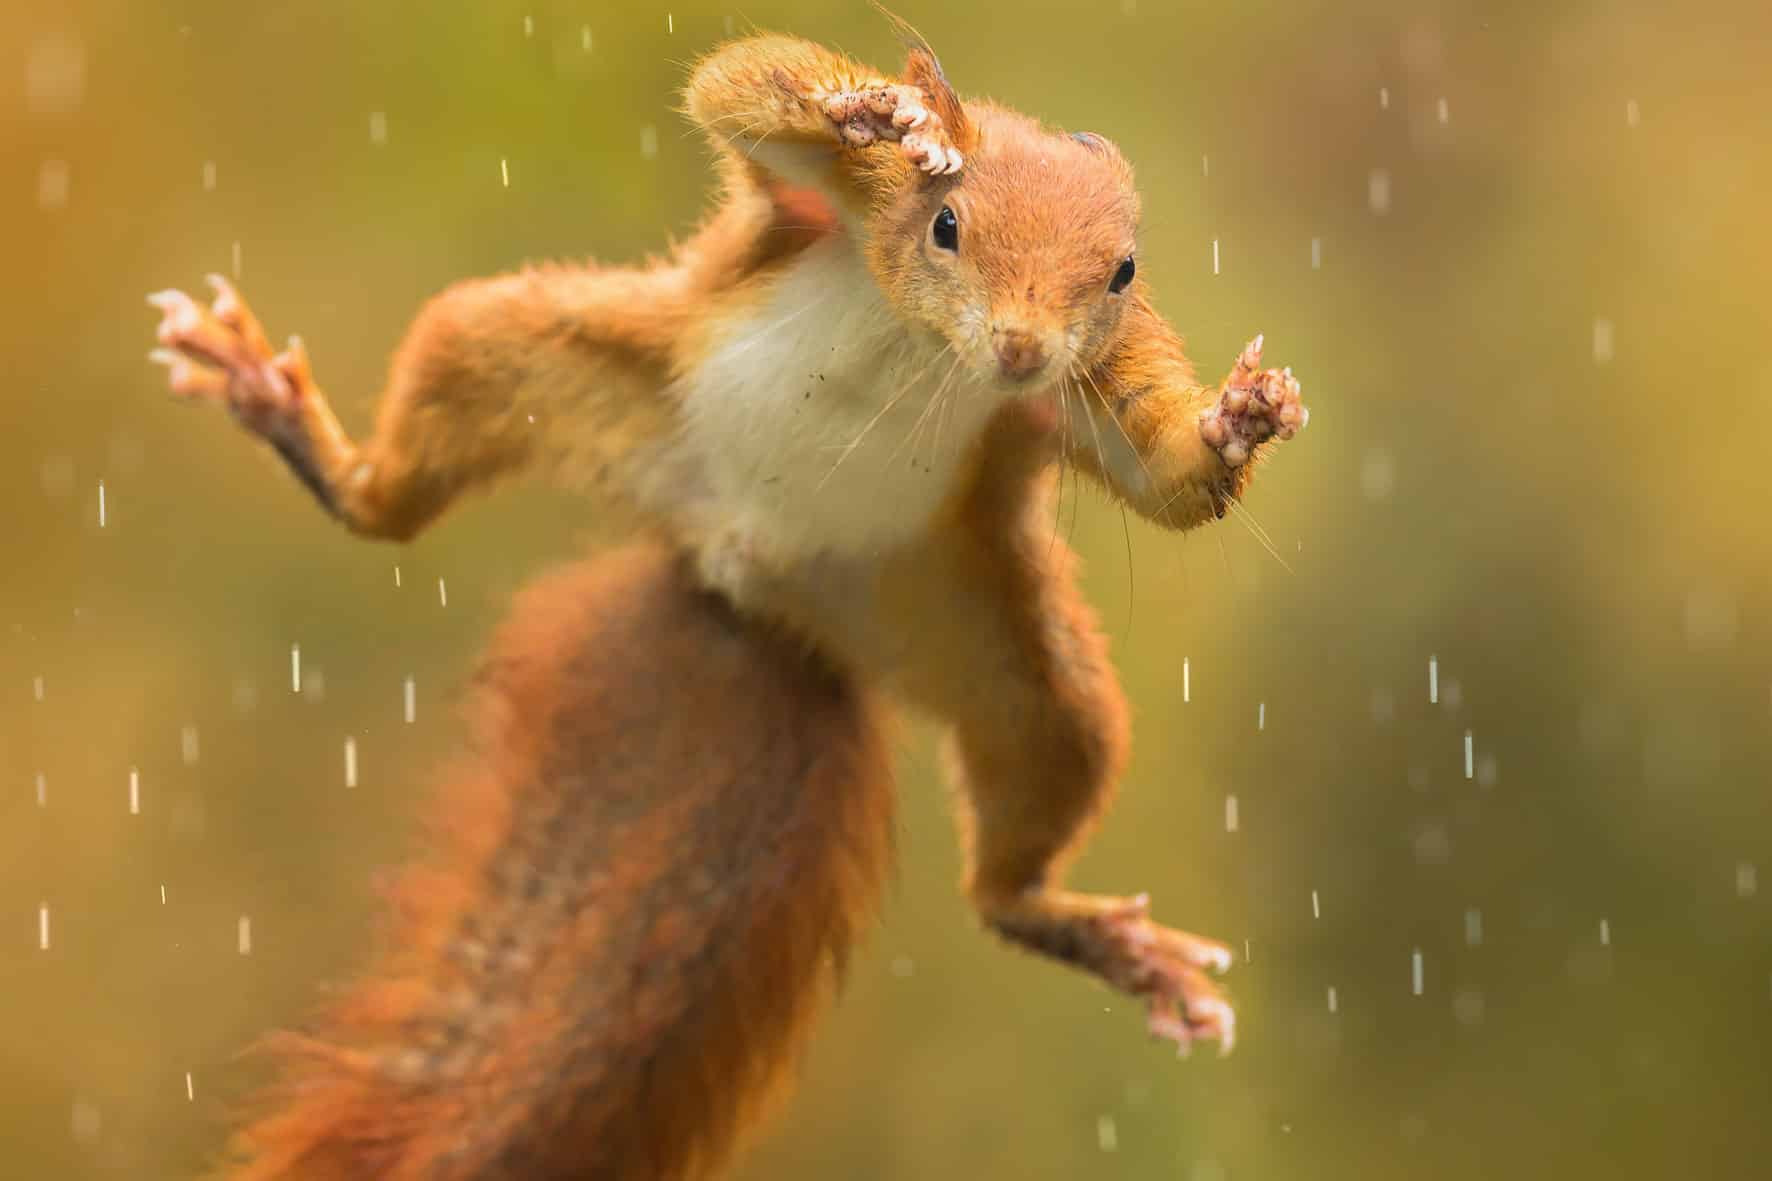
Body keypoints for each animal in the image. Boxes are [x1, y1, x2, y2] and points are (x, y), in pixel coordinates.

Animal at [148, 18, 1304, 1177]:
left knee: (1023, 830)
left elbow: (1165, 481)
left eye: (1120, 272)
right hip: (523, 355)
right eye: (946, 225)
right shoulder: (814, 204)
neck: (924, 340)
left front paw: (1239, 419)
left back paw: (1086, 930)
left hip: (1000, 649)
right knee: (394, 485)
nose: (1020, 350)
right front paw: (879, 111)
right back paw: (284, 412)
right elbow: (734, 88)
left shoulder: (1098, 379)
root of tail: (748, 593)